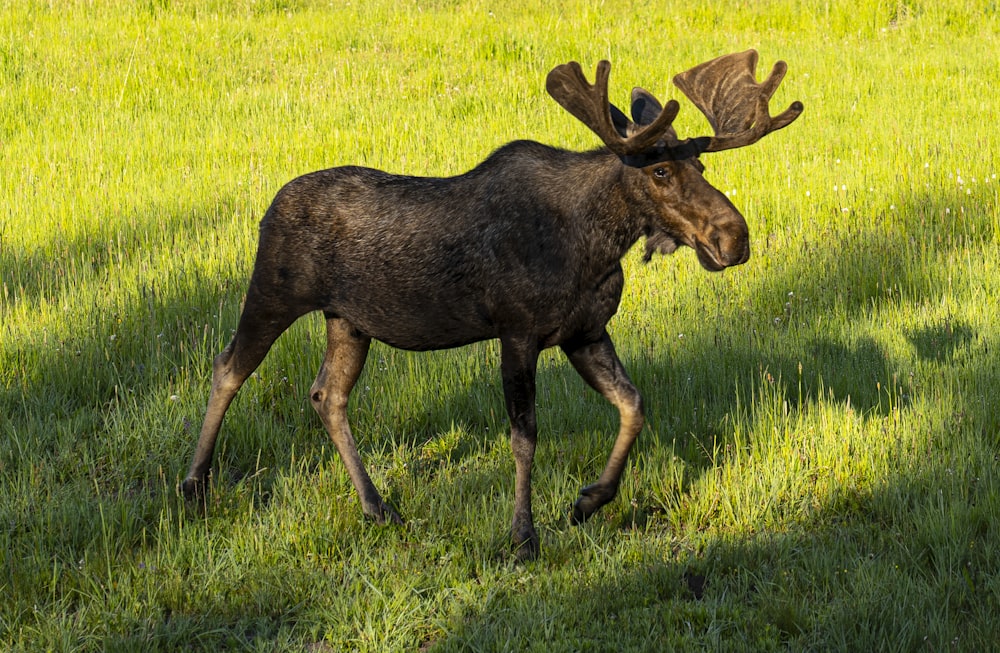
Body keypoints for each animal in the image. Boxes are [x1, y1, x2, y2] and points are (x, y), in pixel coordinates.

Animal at [182, 51, 804, 560]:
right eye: (660, 170)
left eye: (702, 166)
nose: (735, 238)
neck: (595, 244)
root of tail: (271, 205)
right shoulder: (518, 331)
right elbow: (525, 436)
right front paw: (523, 535)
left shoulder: (585, 332)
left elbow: (634, 404)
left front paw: (589, 501)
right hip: (274, 290)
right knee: (228, 367)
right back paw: (194, 486)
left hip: (349, 321)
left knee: (326, 395)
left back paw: (378, 507)